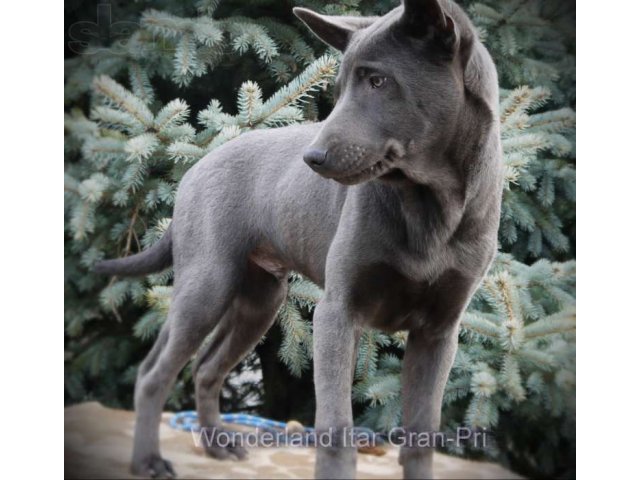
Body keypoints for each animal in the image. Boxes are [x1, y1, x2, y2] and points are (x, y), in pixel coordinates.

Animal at [97, 0, 502, 476]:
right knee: (155, 374)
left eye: (378, 81)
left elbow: (421, 436)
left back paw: (217, 444)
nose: (312, 158)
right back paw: (148, 460)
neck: (428, 207)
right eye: (340, 87)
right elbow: (336, 429)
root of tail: (195, 168)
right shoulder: (337, 313)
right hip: (207, 285)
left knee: (206, 368)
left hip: (259, 300)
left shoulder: (439, 333)